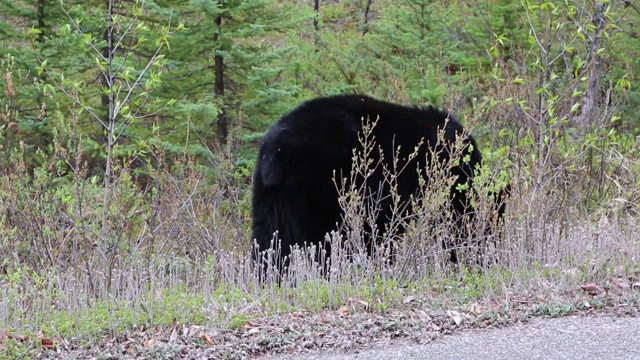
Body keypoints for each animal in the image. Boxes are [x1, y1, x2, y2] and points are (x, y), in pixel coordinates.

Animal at [252, 94, 502, 272]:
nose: (491, 259)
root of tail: (277, 150)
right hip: (317, 186)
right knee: (318, 237)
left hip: (269, 194)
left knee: (268, 240)